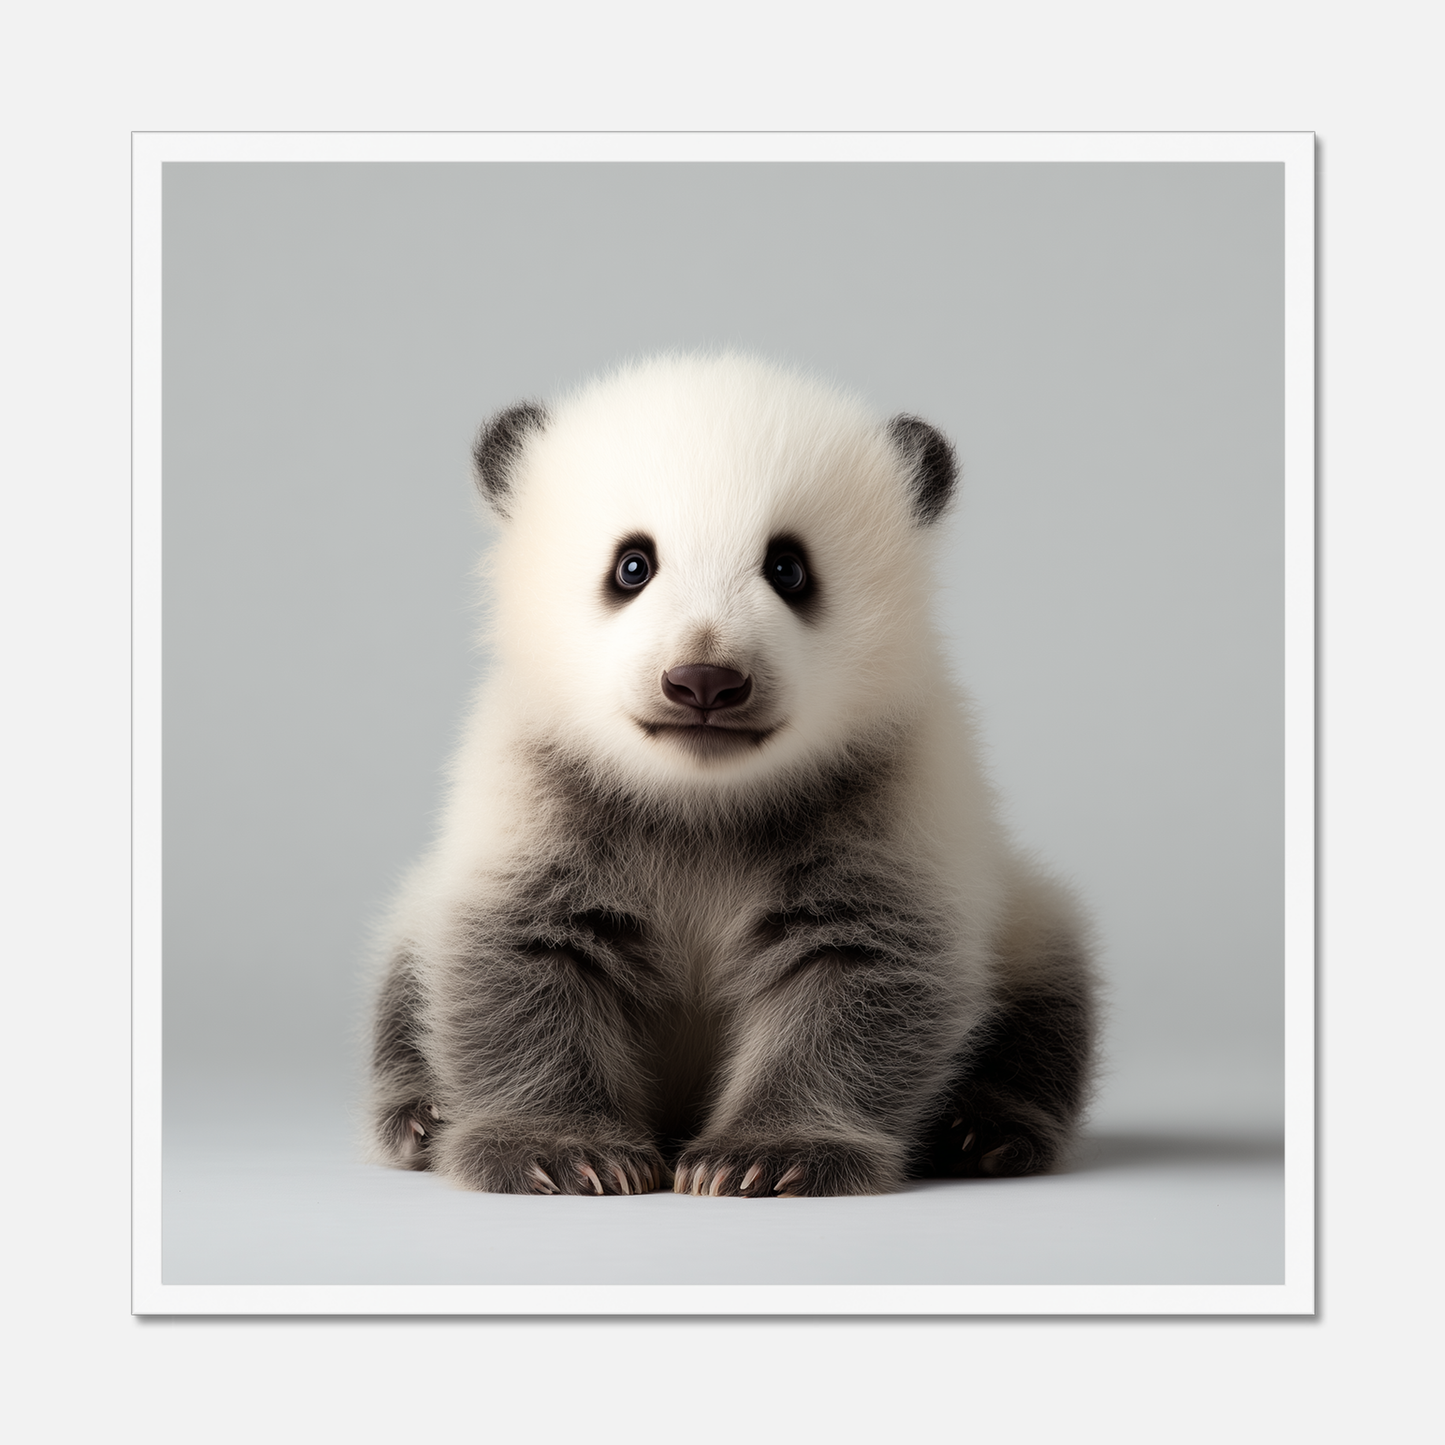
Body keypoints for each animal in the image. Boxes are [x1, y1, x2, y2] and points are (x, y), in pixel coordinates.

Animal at [367, 353, 1095, 1197]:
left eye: (788, 567)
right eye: (632, 565)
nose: (704, 681)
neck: (701, 798)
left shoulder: (891, 790)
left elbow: (859, 973)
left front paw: (767, 1155)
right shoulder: (537, 786)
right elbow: (522, 958)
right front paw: (559, 1151)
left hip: (1023, 916)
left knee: (1047, 1001)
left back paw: (982, 1129)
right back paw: (420, 1116)